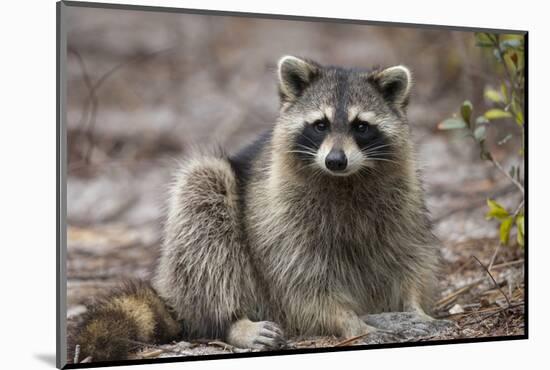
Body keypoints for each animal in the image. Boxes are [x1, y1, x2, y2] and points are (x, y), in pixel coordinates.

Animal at [72, 56, 444, 362]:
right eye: (320, 125)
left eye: (361, 127)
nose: (335, 160)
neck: (344, 180)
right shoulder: (281, 217)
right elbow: (299, 281)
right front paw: (350, 322)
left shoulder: (403, 198)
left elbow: (411, 254)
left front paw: (415, 307)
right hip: (204, 229)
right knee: (204, 215)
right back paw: (233, 322)